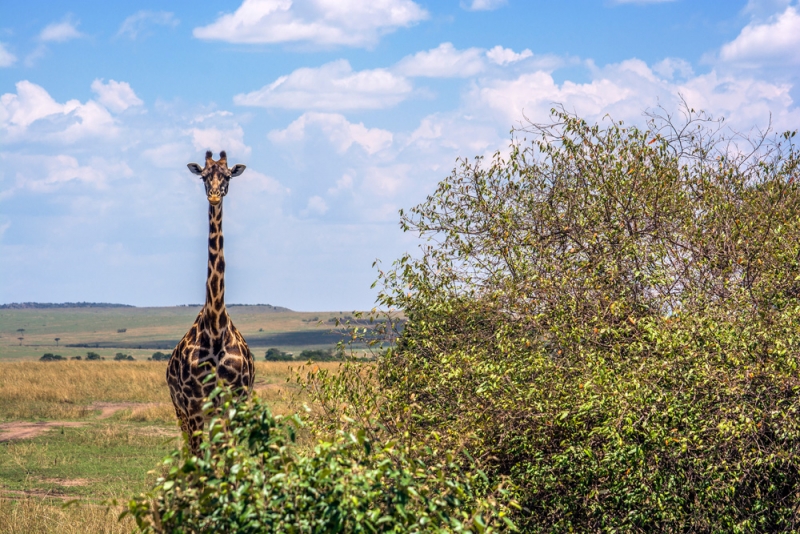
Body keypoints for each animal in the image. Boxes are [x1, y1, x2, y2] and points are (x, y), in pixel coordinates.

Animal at [167, 151, 255, 456]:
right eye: (204, 176)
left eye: (227, 176)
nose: (215, 196)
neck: (216, 326)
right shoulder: (194, 406)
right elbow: (200, 456)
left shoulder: (232, 403)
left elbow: (226, 456)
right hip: (180, 410)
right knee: (189, 450)